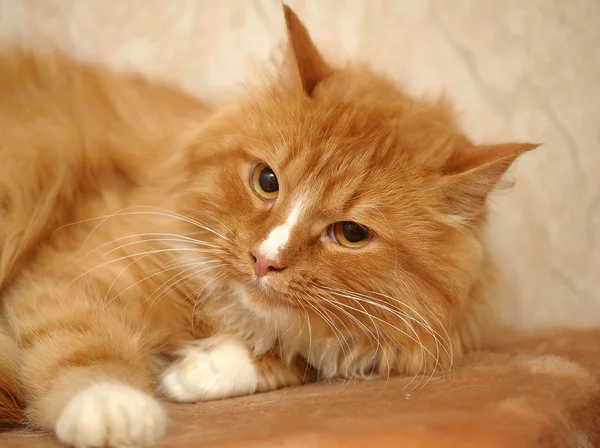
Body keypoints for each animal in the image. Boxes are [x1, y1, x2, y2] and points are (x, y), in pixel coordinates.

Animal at [0, 4, 540, 448]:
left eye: (351, 234)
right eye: (267, 181)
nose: (264, 259)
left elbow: (307, 357)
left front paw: (201, 369)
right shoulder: (76, 274)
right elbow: (83, 352)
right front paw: (114, 409)